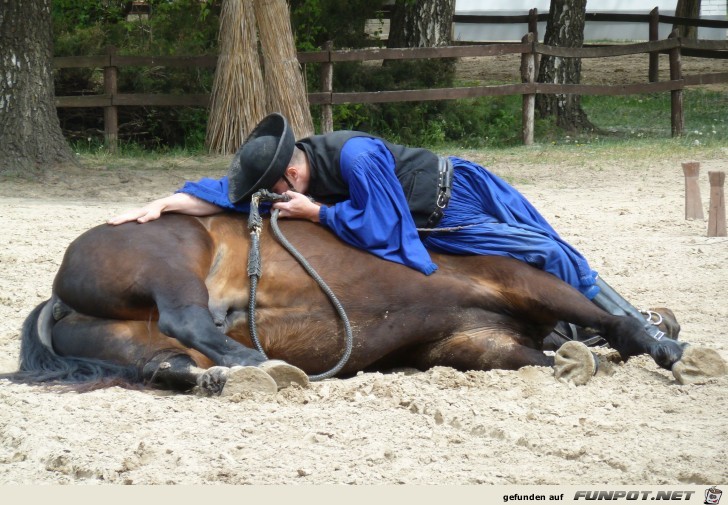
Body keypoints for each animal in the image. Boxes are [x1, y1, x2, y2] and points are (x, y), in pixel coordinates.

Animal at [5, 213, 724, 394]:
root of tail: (55, 298)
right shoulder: (521, 280)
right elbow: (613, 319)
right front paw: (674, 351)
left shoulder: (472, 342)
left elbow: (537, 357)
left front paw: (575, 357)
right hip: (168, 259)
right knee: (191, 318)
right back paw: (258, 362)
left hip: (133, 342)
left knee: (169, 363)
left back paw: (235, 375)